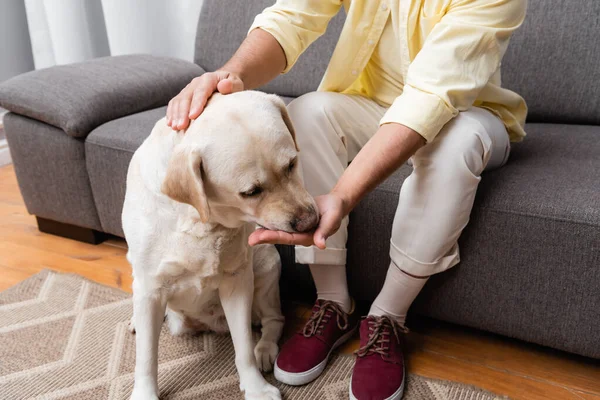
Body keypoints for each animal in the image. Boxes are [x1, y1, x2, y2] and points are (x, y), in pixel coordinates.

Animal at [122, 91, 318, 400]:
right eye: (251, 192)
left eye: (291, 165)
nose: (311, 221)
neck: (198, 219)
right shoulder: (150, 286)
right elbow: (146, 357)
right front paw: (144, 393)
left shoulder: (236, 280)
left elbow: (244, 347)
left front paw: (256, 388)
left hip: (265, 266)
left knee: (273, 319)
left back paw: (265, 349)